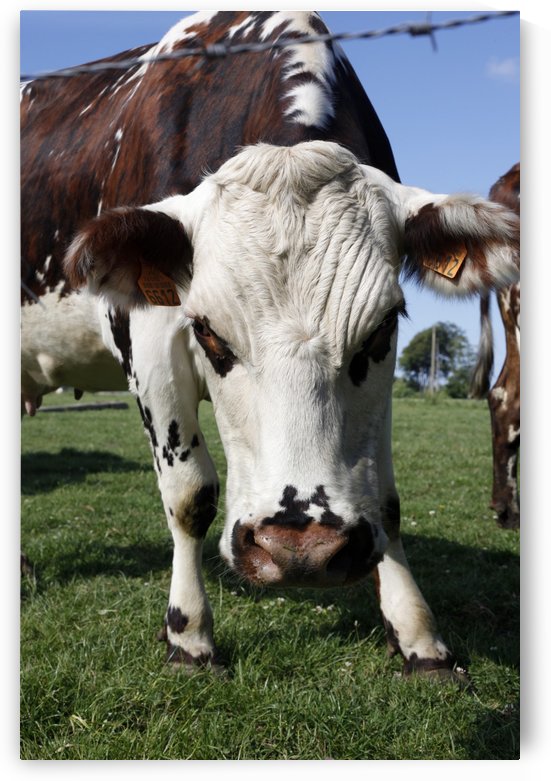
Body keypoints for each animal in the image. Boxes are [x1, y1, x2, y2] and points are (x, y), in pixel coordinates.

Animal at [21, 11, 519, 679]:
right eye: (208, 331)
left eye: (383, 327)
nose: (300, 548)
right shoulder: (148, 340)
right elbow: (189, 495)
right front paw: (189, 635)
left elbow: (385, 498)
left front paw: (418, 635)